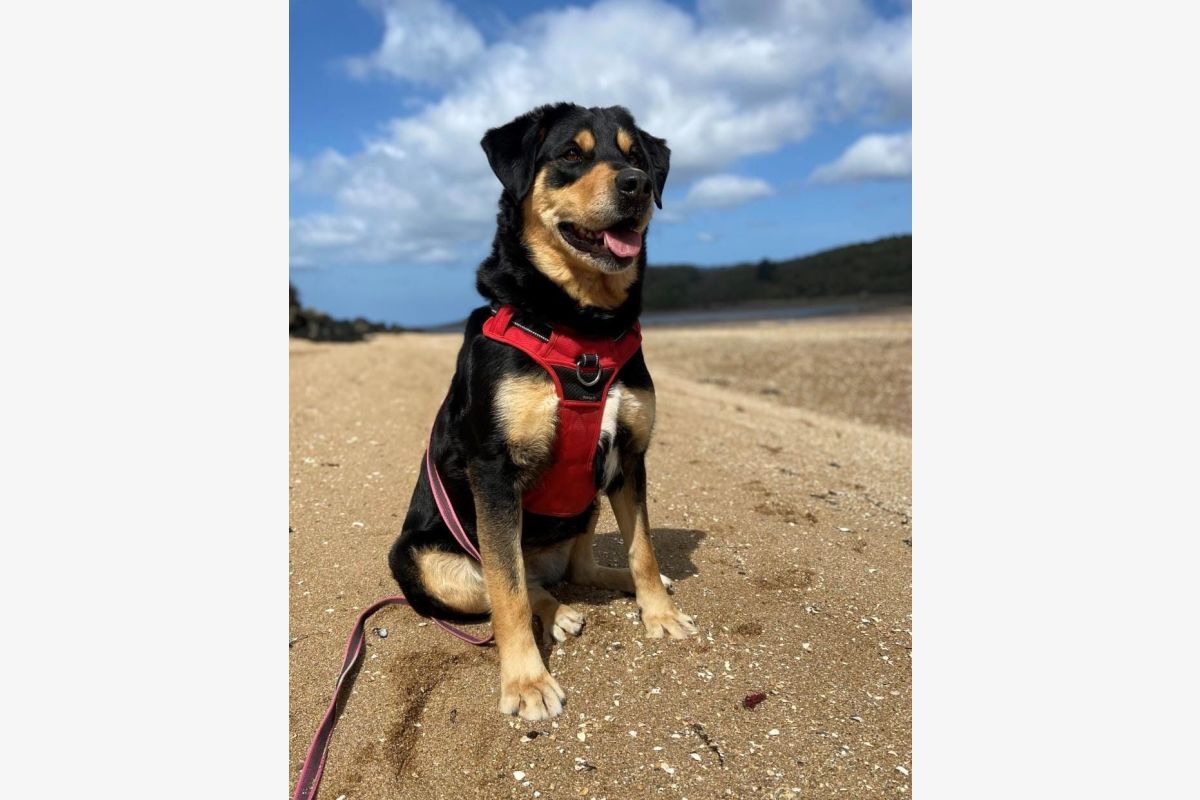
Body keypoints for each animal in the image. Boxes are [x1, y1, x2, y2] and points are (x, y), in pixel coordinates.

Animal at [388, 103, 700, 724]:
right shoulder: (494, 471)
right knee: (509, 580)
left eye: (635, 155)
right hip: (417, 558)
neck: (582, 328)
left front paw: (657, 612)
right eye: (571, 155)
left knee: (577, 569)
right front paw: (527, 681)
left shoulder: (630, 456)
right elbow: (505, 591)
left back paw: (607, 586)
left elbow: (644, 548)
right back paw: (556, 612)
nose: (637, 185)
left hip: (588, 502)